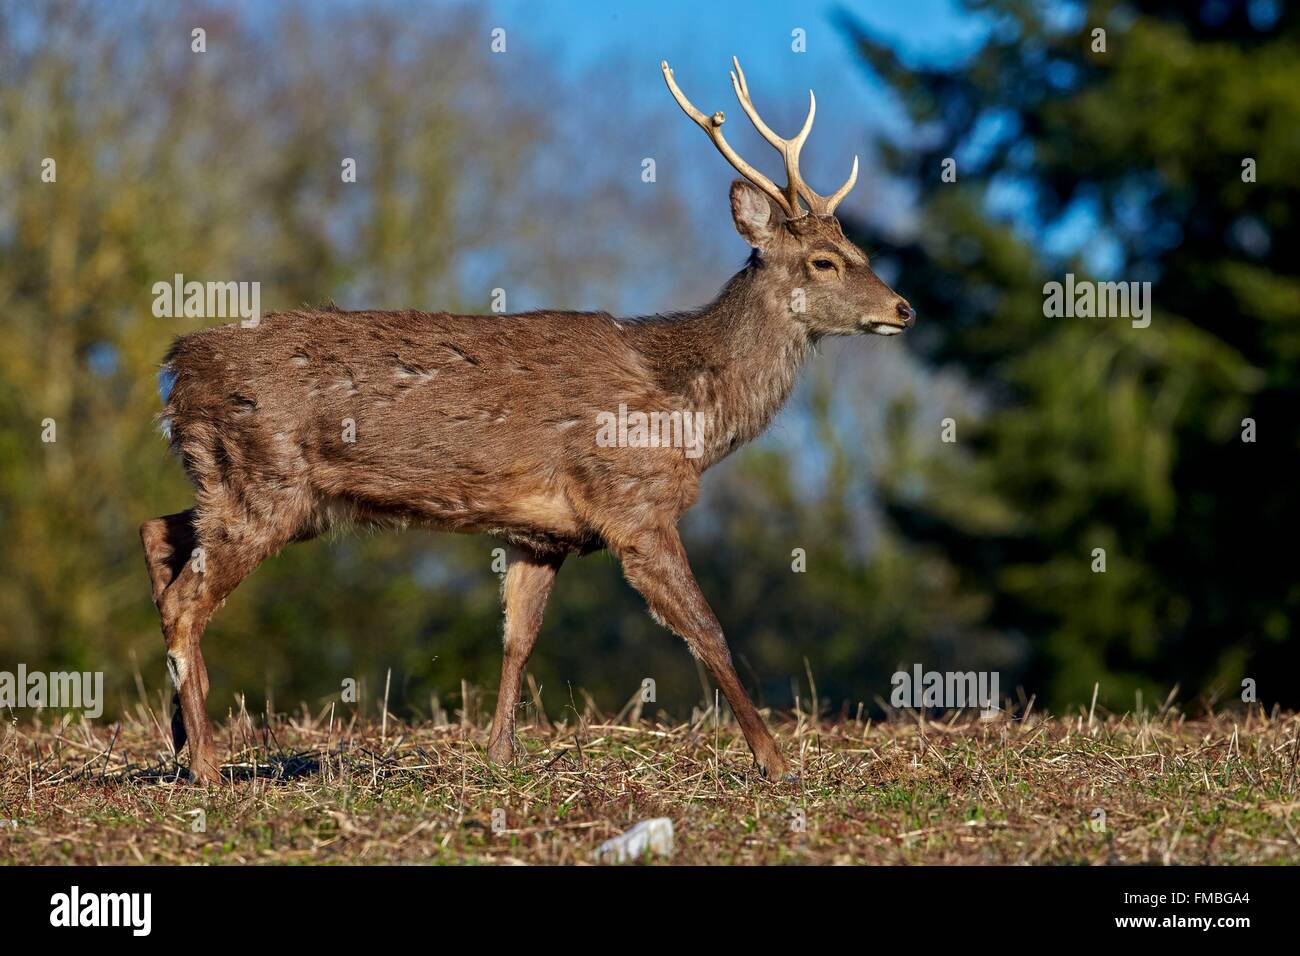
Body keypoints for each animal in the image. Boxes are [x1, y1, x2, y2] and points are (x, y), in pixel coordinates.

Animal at [140, 57, 915, 785]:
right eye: (824, 260)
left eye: (863, 251)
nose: (903, 308)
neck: (690, 411)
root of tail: (177, 366)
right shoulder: (633, 504)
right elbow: (707, 631)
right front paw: (775, 761)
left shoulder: (542, 533)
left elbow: (518, 637)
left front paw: (500, 752)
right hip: (266, 481)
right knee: (185, 599)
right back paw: (206, 764)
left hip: (254, 487)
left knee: (158, 532)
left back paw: (182, 736)